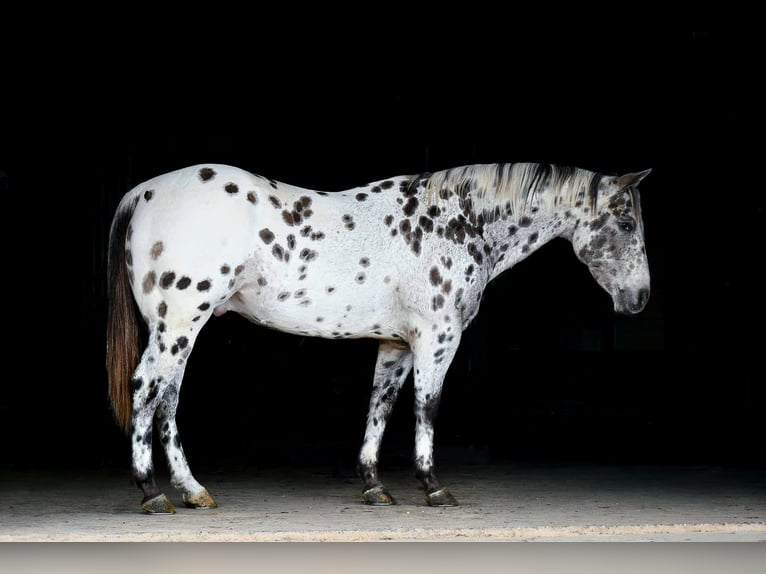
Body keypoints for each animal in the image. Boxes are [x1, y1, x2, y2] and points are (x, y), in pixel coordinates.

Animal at [106, 161, 651, 513]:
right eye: (625, 223)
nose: (640, 298)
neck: (458, 220)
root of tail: (143, 192)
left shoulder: (396, 345)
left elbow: (380, 408)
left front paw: (373, 486)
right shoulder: (436, 339)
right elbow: (427, 408)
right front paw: (433, 487)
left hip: (181, 329)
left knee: (167, 400)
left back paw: (192, 491)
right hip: (177, 325)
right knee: (145, 390)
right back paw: (151, 493)